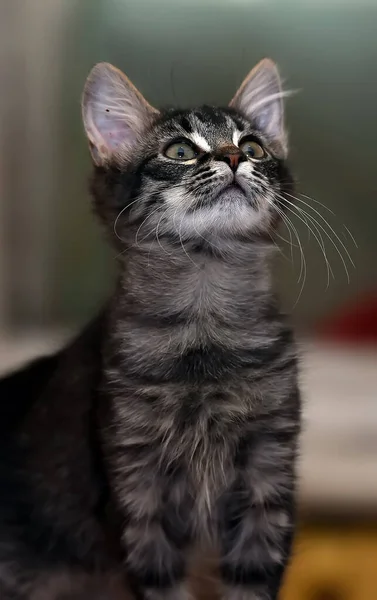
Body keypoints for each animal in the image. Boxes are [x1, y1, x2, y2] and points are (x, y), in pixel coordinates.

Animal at [0, 59, 300, 600]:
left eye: (252, 148)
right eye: (180, 151)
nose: (232, 158)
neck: (204, 326)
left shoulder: (269, 474)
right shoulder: (137, 487)